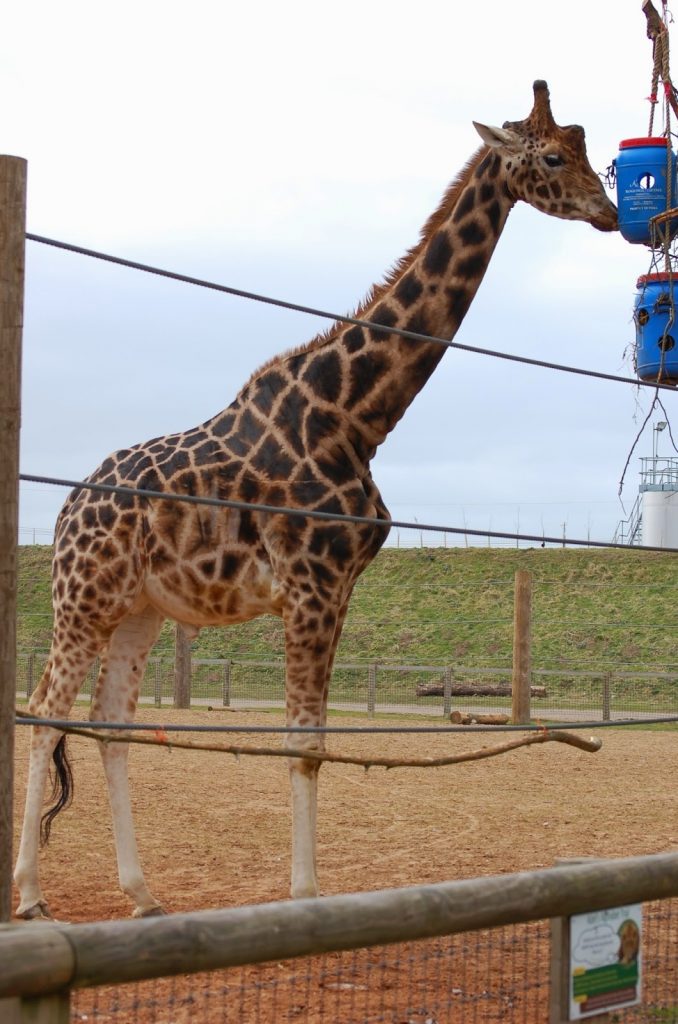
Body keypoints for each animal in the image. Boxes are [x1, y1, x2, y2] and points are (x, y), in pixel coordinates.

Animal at [14, 81, 617, 920]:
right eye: (555, 157)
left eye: (592, 150)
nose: (611, 212)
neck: (358, 416)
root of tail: (68, 507)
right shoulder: (310, 586)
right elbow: (305, 746)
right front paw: (303, 901)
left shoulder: (338, 589)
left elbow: (316, 742)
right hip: (83, 598)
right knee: (45, 713)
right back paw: (31, 897)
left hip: (140, 607)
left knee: (111, 723)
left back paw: (143, 895)